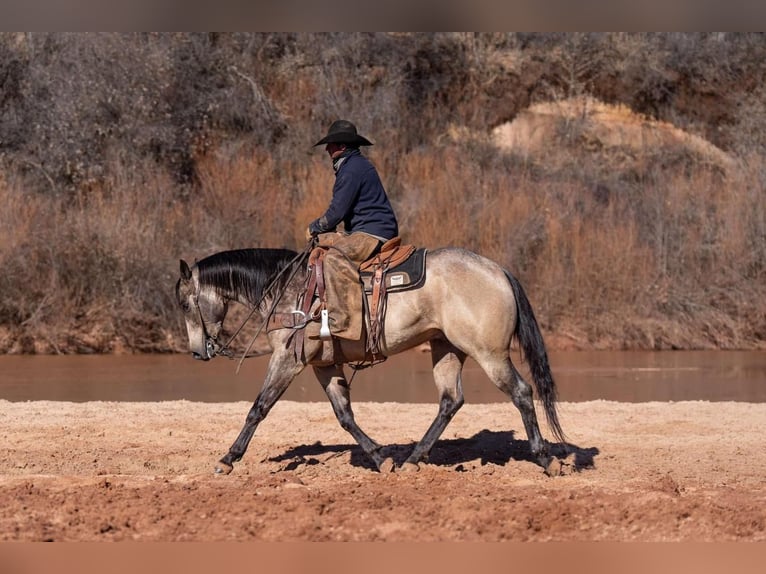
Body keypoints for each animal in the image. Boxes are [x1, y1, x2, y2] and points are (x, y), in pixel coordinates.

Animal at [176, 246, 568, 476]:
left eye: (184, 303)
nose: (197, 351)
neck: (287, 288)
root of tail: (498, 270)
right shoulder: (324, 367)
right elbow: (345, 415)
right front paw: (380, 457)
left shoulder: (288, 358)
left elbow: (259, 408)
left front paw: (228, 458)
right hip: (446, 349)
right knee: (450, 401)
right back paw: (413, 459)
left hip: (490, 355)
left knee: (521, 393)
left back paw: (545, 458)